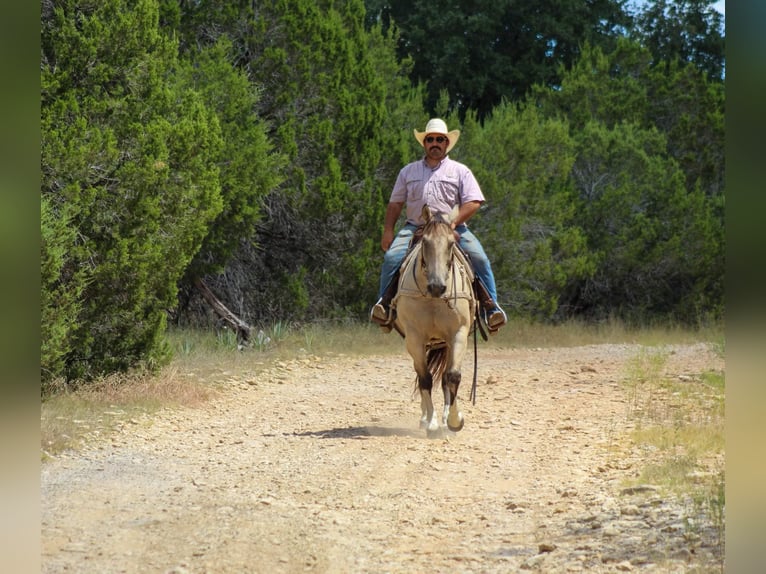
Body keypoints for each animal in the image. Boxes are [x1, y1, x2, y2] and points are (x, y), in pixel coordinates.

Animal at [391, 205, 477, 437]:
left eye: (451, 242)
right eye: (425, 242)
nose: (437, 286)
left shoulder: (458, 333)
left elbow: (452, 376)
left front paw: (454, 421)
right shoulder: (414, 338)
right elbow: (425, 378)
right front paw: (431, 422)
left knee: (446, 378)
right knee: (422, 375)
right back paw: (425, 418)